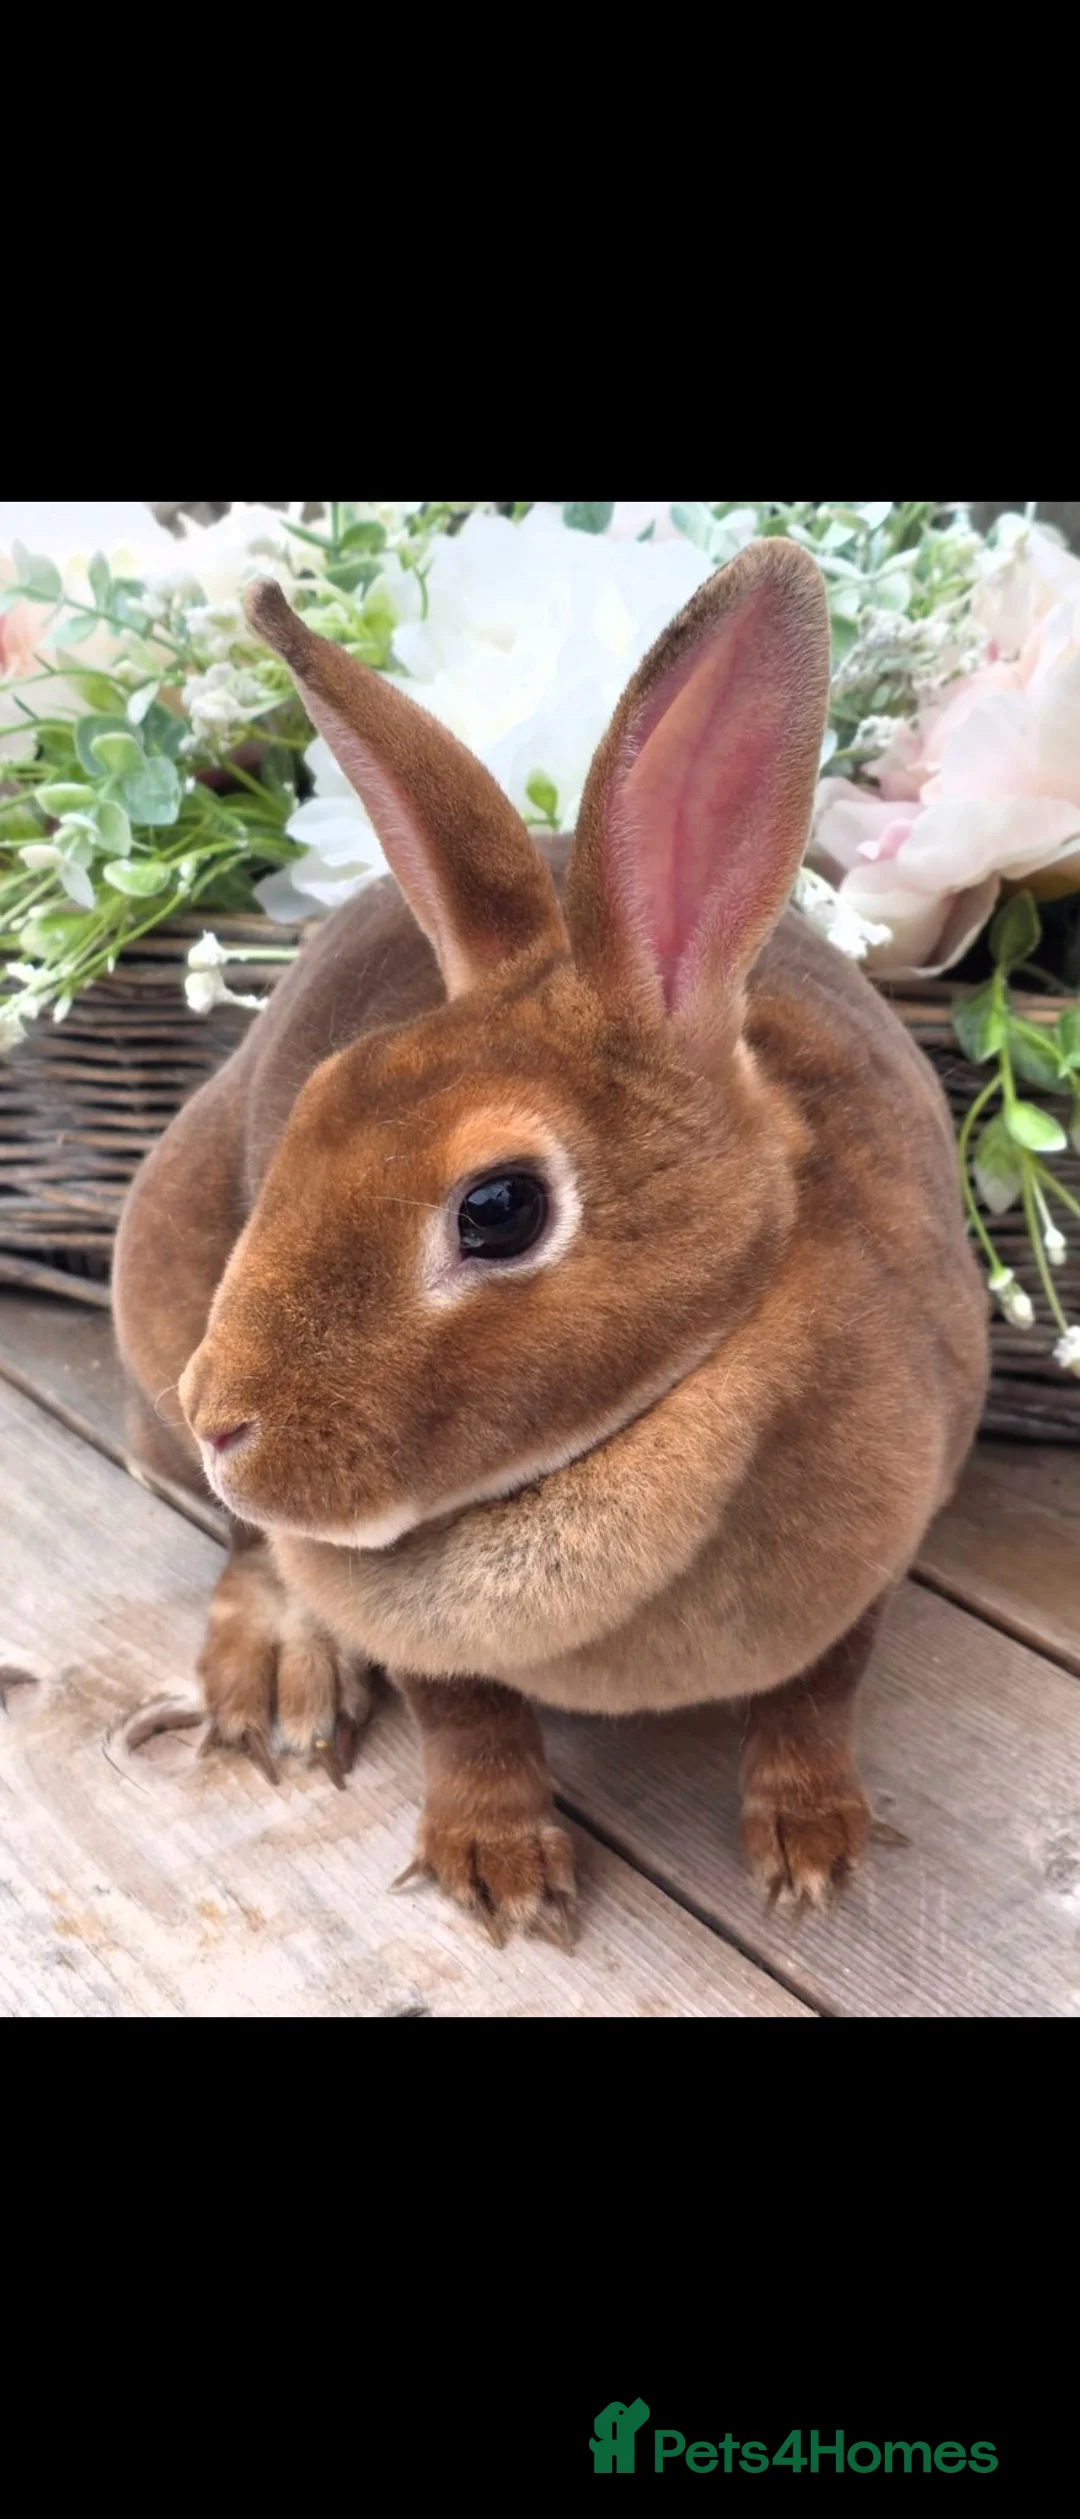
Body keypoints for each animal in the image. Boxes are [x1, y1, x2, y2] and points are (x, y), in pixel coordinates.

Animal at [112, 540, 989, 1945]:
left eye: (499, 1208)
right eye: (312, 1108)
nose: (222, 1420)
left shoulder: (877, 1559)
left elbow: (820, 1694)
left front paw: (811, 1846)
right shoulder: (424, 1640)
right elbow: (464, 1715)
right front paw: (501, 1869)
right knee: (249, 1549)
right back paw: (282, 1676)